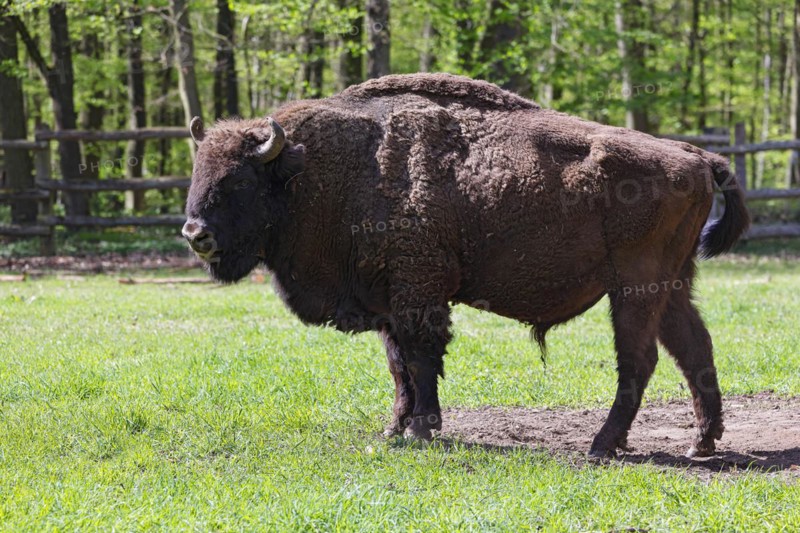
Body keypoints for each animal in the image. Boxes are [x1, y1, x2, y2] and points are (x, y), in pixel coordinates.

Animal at [182, 73, 749, 458]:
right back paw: (702, 443)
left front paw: (421, 429)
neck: (312, 170)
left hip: (635, 287)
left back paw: (602, 444)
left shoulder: (418, 293)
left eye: (239, 180)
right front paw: (393, 428)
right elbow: (398, 366)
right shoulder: (387, 300)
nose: (195, 234)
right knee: (693, 349)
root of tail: (697, 157)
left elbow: (420, 359)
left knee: (639, 360)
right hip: (673, 284)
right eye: (197, 171)